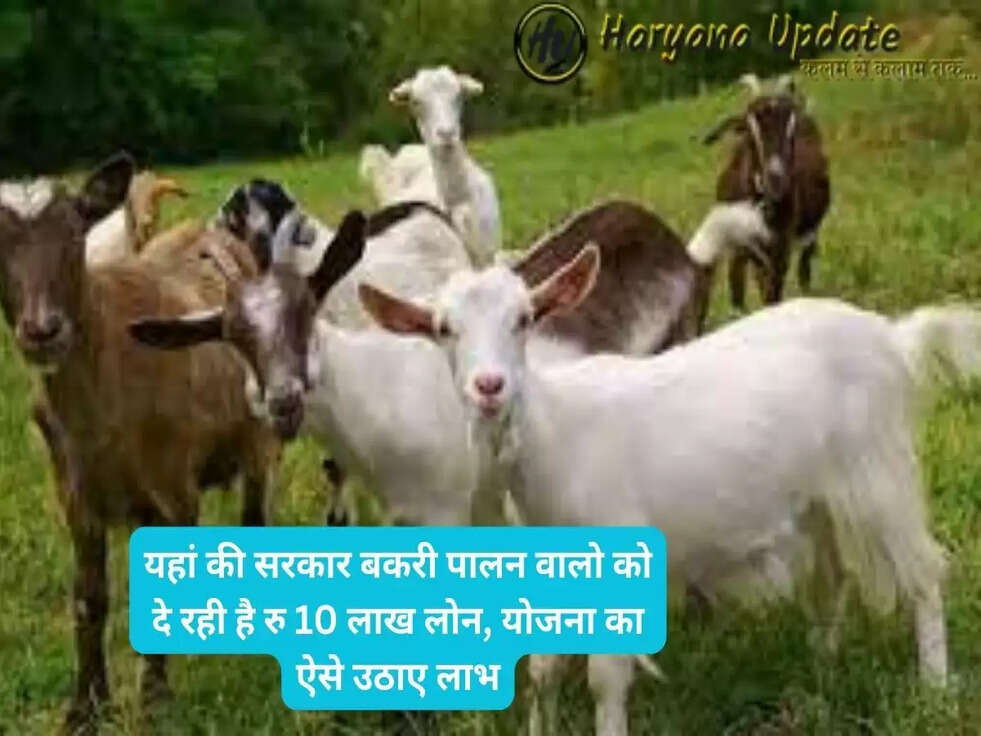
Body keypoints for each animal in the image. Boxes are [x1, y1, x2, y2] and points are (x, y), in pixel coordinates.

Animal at [0, 154, 289, 733]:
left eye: (76, 237)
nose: (43, 330)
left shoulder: (173, 486)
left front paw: (154, 700)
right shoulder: (75, 496)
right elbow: (89, 598)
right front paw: (85, 708)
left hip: (257, 439)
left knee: (253, 517)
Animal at [360, 245, 979, 736]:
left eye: (525, 318)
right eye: (443, 329)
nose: (490, 386)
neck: (554, 434)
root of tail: (891, 336)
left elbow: (605, 679)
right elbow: (542, 670)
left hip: (878, 469)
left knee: (924, 573)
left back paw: (934, 687)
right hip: (820, 494)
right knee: (833, 577)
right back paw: (822, 665)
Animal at [695, 73, 830, 309]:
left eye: (792, 133)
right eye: (749, 132)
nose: (776, 180)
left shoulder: (780, 251)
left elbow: (772, 295)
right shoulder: (737, 250)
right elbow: (737, 296)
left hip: (809, 233)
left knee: (804, 268)